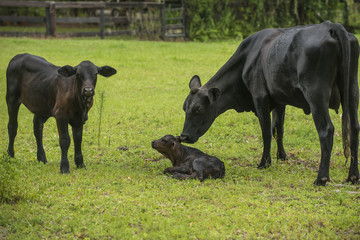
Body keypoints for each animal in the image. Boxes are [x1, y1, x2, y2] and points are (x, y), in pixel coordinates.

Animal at [181, 21, 358, 186]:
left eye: (198, 109)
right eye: (184, 108)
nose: (183, 136)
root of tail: (330, 26)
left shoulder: (260, 97)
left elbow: (266, 131)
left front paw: (264, 163)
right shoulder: (279, 100)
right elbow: (278, 129)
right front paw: (282, 156)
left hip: (316, 94)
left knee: (326, 130)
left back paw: (321, 178)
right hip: (352, 91)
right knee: (354, 128)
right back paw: (353, 176)